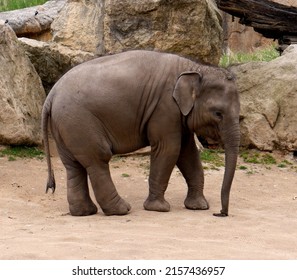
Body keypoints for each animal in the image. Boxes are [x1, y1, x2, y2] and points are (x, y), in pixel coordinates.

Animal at [41, 49, 239, 217]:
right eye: (218, 113)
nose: (220, 213)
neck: (193, 67)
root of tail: (50, 96)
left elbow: (188, 153)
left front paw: (198, 206)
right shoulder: (164, 108)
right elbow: (169, 149)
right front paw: (159, 209)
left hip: (65, 126)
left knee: (73, 165)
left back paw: (84, 212)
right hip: (79, 121)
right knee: (98, 159)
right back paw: (121, 210)